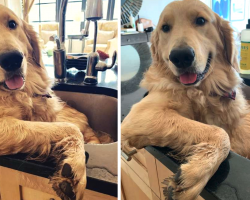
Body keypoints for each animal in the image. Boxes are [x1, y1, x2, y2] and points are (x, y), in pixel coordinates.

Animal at [121, 0, 250, 199]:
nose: (181, 56)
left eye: (201, 20)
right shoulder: (141, 114)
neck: (204, 91)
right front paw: (195, 173)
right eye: (165, 27)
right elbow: (220, 133)